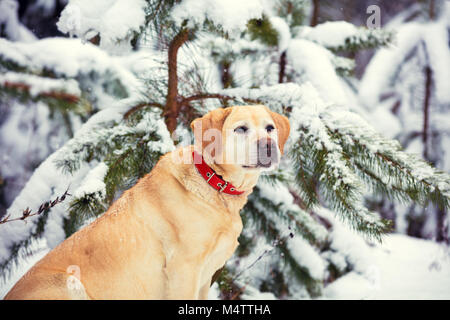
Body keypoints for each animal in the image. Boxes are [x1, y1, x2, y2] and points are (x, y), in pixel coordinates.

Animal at [4, 105, 292, 300]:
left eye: (270, 128)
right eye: (241, 129)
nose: (268, 145)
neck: (214, 184)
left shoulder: (204, 278)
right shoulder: (183, 269)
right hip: (69, 283)